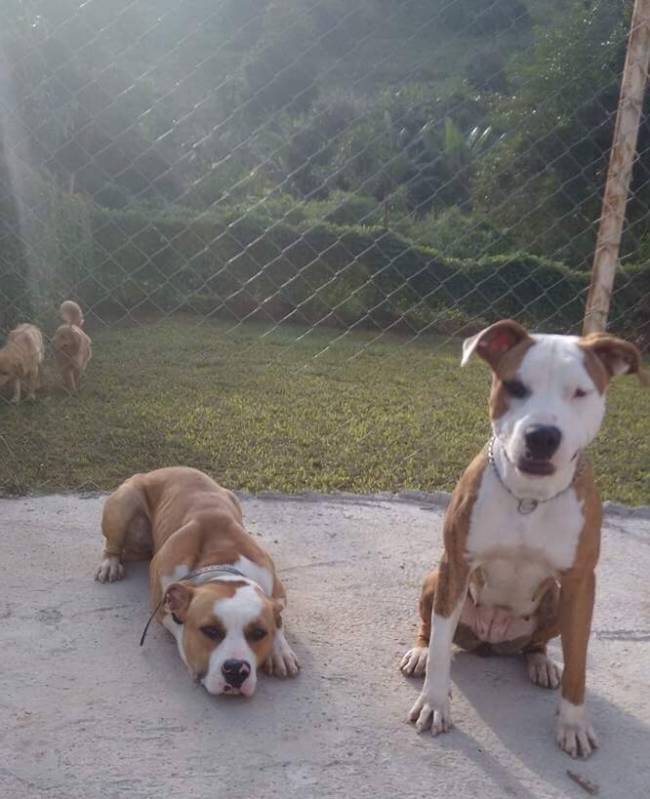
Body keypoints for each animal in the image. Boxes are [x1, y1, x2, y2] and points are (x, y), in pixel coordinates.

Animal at [95, 466, 300, 696]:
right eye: (210, 631)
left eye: (258, 633)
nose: (236, 669)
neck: (220, 562)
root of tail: (155, 471)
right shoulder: (161, 605)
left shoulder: (276, 589)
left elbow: (278, 618)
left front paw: (280, 651)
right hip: (124, 502)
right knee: (112, 546)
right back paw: (110, 564)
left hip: (232, 496)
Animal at [402, 318, 644, 756]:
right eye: (515, 386)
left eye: (580, 392)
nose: (543, 436)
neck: (529, 497)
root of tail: (490, 641)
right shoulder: (455, 565)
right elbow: (443, 647)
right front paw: (434, 702)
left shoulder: (581, 583)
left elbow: (579, 662)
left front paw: (573, 723)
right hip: (434, 579)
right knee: (432, 629)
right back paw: (420, 652)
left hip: (557, 600)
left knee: (537, 643)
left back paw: (540, 661)